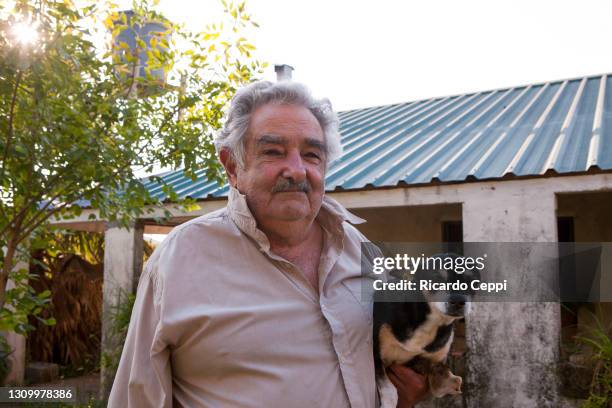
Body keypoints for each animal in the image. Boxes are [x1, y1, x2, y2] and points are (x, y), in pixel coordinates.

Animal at [372, 253, 478, 406]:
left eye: (473, 281)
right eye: (436, 278)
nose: (458, 301)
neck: (429, 323)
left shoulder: (436, 357)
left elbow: (444, 379)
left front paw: (446, 381)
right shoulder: (377, 356)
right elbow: (390, 390)